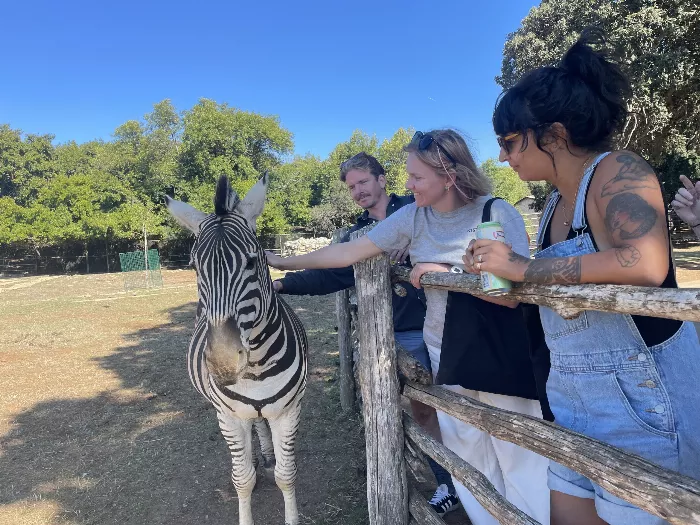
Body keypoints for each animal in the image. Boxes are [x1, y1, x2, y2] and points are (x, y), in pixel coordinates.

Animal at [165, 173, 308, 524]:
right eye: (194, 267)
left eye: (252, 262)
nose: (223, 363)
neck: (256, 370)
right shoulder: (229, 417)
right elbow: (242, 478)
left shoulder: (289, 411)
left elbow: (287, 475)